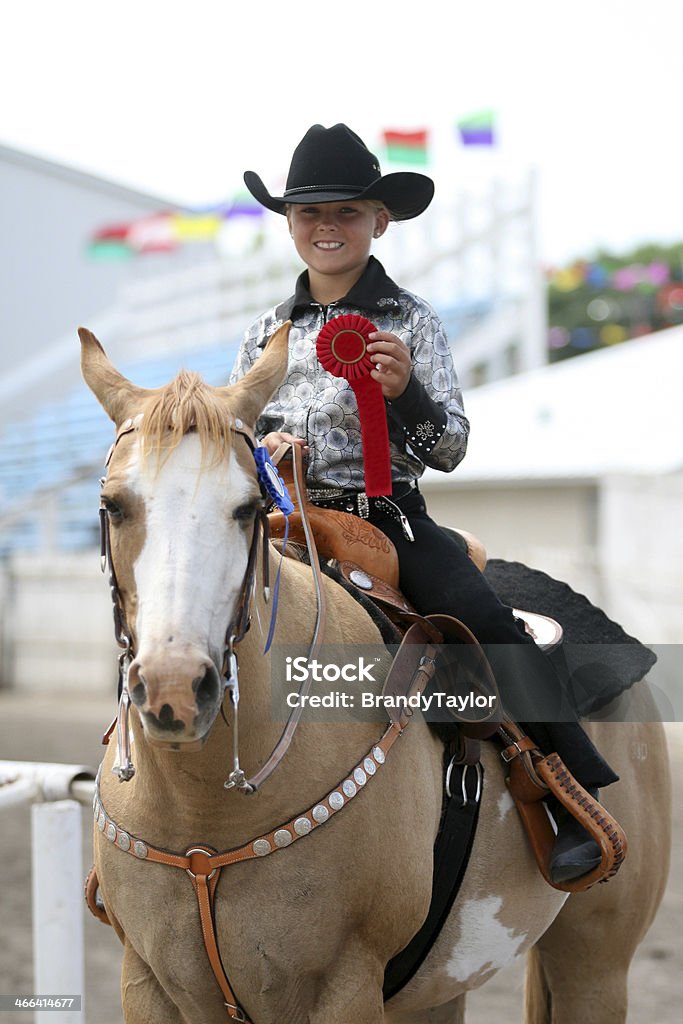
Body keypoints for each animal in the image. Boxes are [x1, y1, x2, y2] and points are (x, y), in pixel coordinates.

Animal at [81, 321, 671, 1024]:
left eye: (247, 507)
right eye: (114, 505)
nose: (175, 689)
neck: (205, 819)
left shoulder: (344, 986)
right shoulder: (145, 981)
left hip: (594, 961)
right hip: (441, 990)